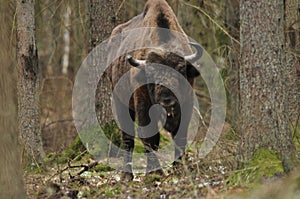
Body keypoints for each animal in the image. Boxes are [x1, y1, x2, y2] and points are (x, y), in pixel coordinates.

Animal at [109, 0, 203, 180]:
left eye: (181, 69)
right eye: (151, 73)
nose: (167, 101)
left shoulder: (186, 104)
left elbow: (180, 135)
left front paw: (179, 169)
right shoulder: (143, 106)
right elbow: (150, 138)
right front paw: (155, 173)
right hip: (121, 102)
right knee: (128, 138)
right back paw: (126, 175)